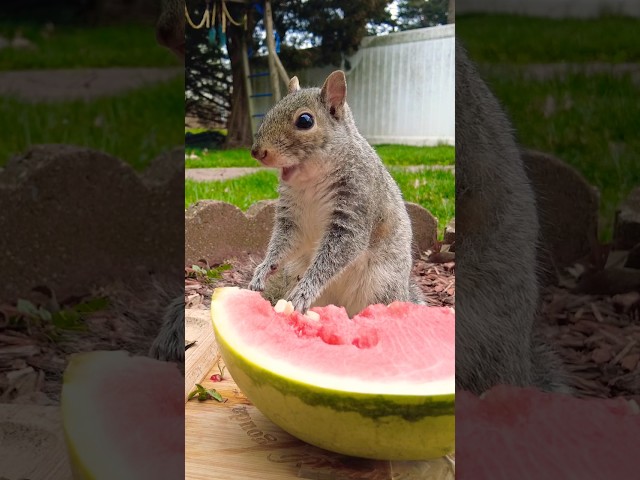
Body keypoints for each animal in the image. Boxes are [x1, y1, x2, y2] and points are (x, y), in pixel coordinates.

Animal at [248, 71, 422, 316]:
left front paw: (305, 289)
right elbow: (282, 242)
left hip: (381, 287)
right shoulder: (291, 217)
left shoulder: (356, 205)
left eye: (305, 121)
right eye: (272, 110)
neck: (312, 181)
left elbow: (337, 253)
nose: (257, 152)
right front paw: (264, 269)